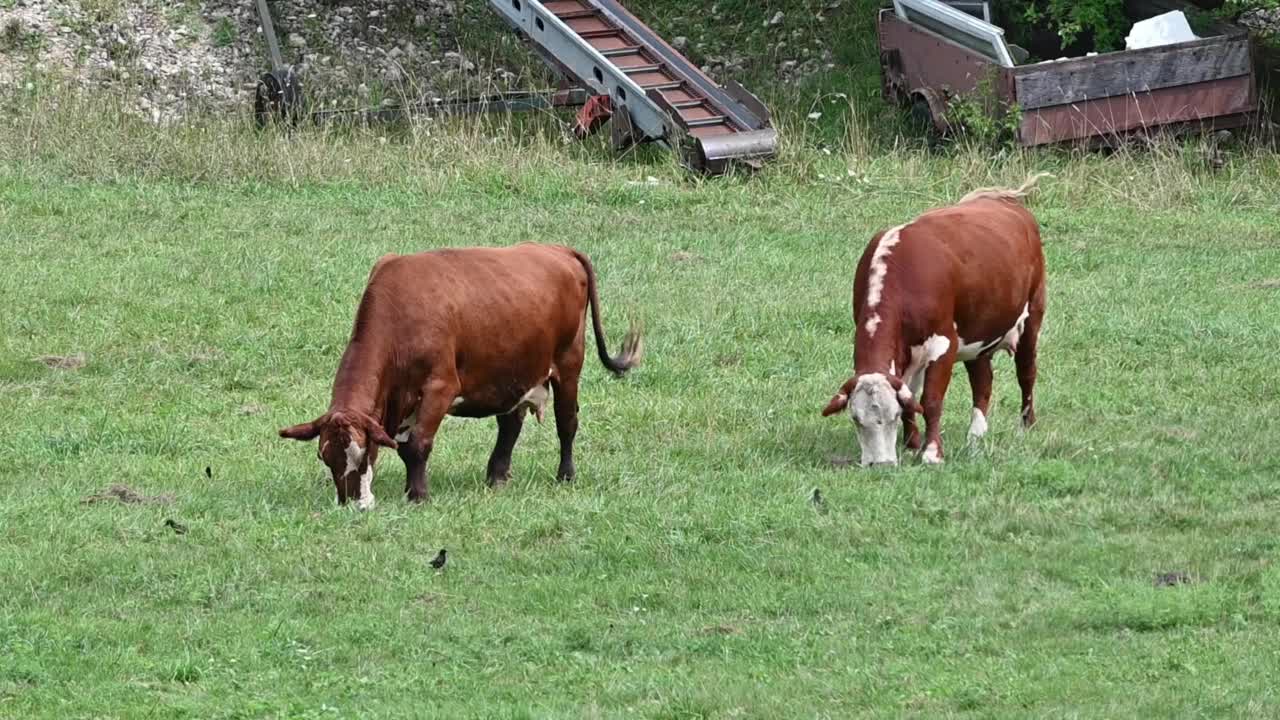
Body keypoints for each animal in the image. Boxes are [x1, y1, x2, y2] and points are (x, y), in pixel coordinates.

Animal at [280, 243, 640, 507]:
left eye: (363, 452)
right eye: (325, 456)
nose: (353, 504)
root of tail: (558, 249)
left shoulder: (440, 388)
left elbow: (417, 445)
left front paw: (418, 495)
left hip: (568, 364)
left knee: (567, 423)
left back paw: (565, 475)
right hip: (512, 371)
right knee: (510, 425)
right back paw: (496, 476)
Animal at [819, 174, 1049, 466]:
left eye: (892, 416)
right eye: (856, 418)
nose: (880, 464)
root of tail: (1002, 201)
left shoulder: (943, 344)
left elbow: (930, 400)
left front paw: (931, 452)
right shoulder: (908, 351)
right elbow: (909, 396)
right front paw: (912, 443)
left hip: (1032, 318)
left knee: (1026, 372)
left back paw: (1026, 424)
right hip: (979, 333)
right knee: (982, 381)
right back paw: (976, 435)